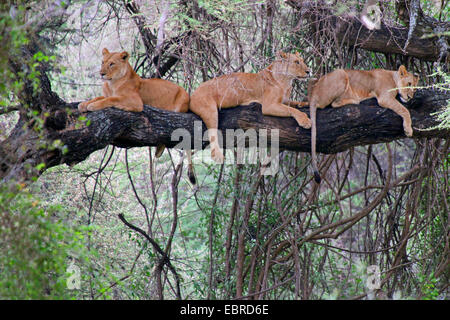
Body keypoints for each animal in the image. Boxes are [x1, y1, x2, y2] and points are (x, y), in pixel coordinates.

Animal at [79, 47, 195, 182]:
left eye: (112, 64)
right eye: (103, 62)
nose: (101, 73)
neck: (112, 84)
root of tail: (188, 95)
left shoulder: (135, 101)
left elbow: (111, 99)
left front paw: (92, 105)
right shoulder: (108, 94)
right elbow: (99, 97)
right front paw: (84, 104)